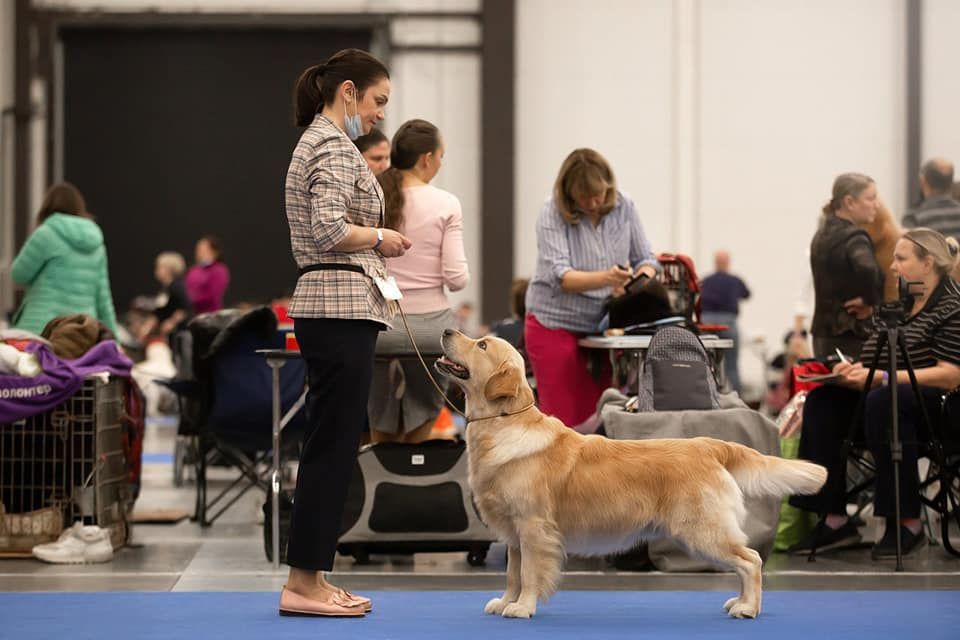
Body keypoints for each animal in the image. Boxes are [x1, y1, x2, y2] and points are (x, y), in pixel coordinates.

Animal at [438, 330, 828, 620]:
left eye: (482, 344)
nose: (446, 331)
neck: (503, 423)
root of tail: (708, 444)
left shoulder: (533, 527)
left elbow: (530, 573)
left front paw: (523, 607)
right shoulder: (514, 533)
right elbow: (512, 572)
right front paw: (507, 601)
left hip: (703, 530)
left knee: (751, 560)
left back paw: (749, 608)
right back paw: (740, 602)